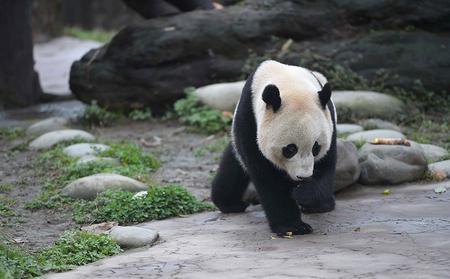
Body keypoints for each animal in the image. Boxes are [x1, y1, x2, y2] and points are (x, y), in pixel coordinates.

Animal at [210, 59, 334, 236]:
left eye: (315, 148)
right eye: (290, 149)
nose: (302, 177)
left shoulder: (328, 120)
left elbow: (325, 165)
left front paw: (307, 199)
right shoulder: (250, 119)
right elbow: (267, 177)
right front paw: (293, 227)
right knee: (233, 166)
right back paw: (230, 204)